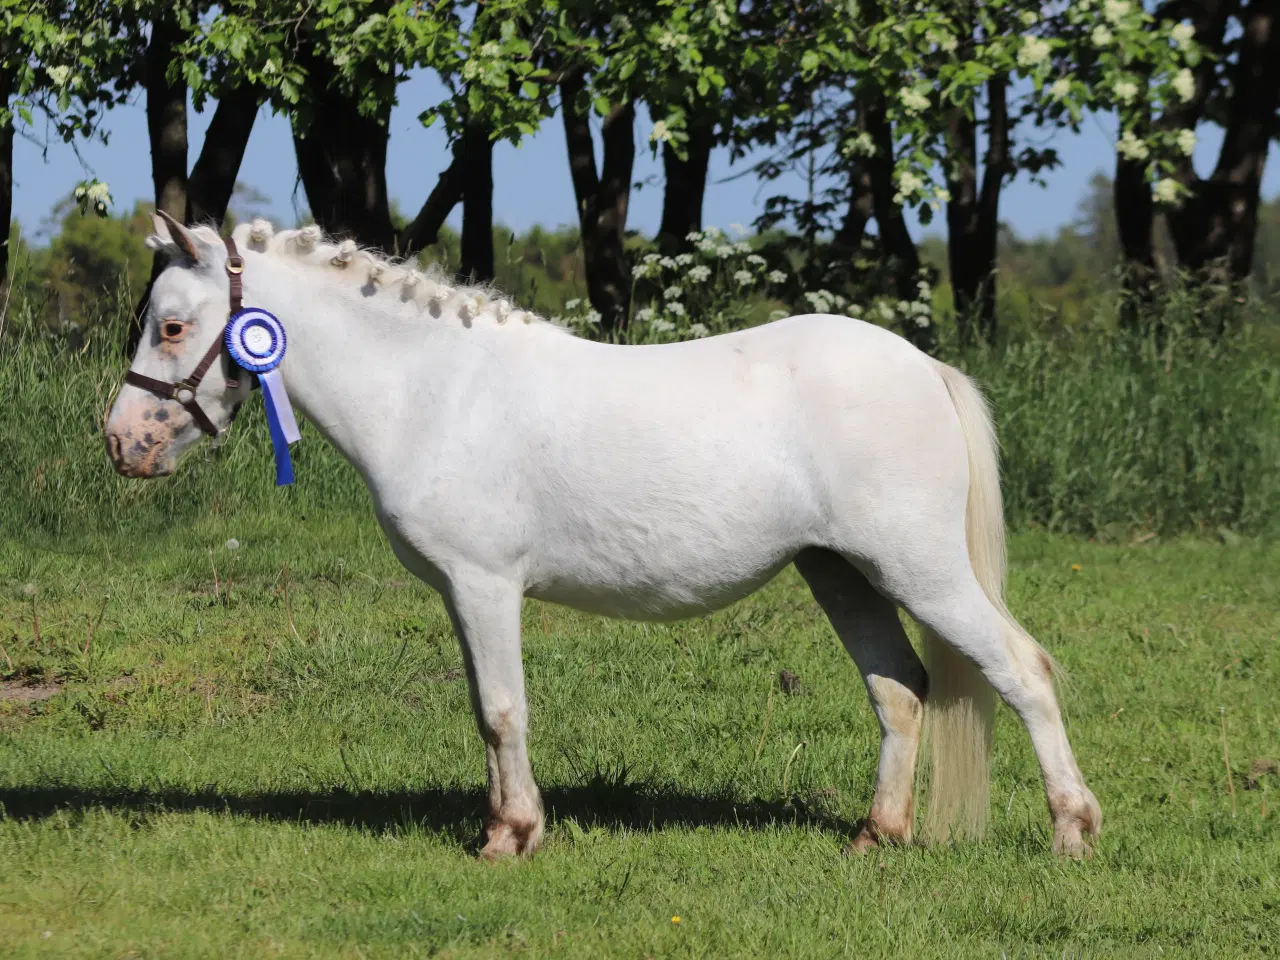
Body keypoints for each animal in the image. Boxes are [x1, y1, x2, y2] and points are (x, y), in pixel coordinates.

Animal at [107, 213, 1100, 860]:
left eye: (173, 325)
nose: (123, 444)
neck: (434, 390)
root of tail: (923, 366)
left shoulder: (485, 585)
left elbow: (503, 711)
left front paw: (511, 838)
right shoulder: (462, 595)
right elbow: (485, 713)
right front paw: (500, 824)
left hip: (920, 569)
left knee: (1022, 671)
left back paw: (1072, 832)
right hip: (841, 573)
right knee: (900, 690)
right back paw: (876, 837)